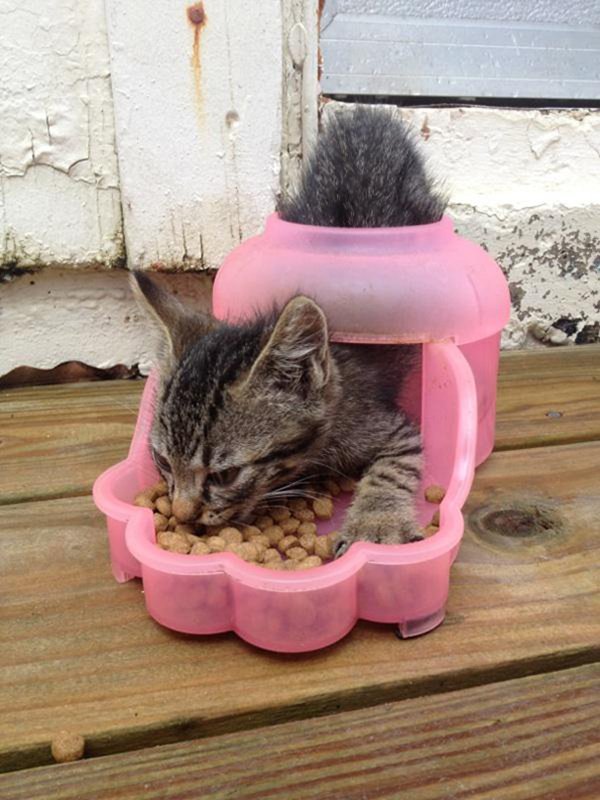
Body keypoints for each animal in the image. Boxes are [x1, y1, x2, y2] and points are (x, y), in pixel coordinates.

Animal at [131, 106, 446, 556]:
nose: (182, 514)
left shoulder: (395, 429)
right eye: (161, 462)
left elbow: (391, 470)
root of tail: (367, 118)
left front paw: (376, 524)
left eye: (225, 475)